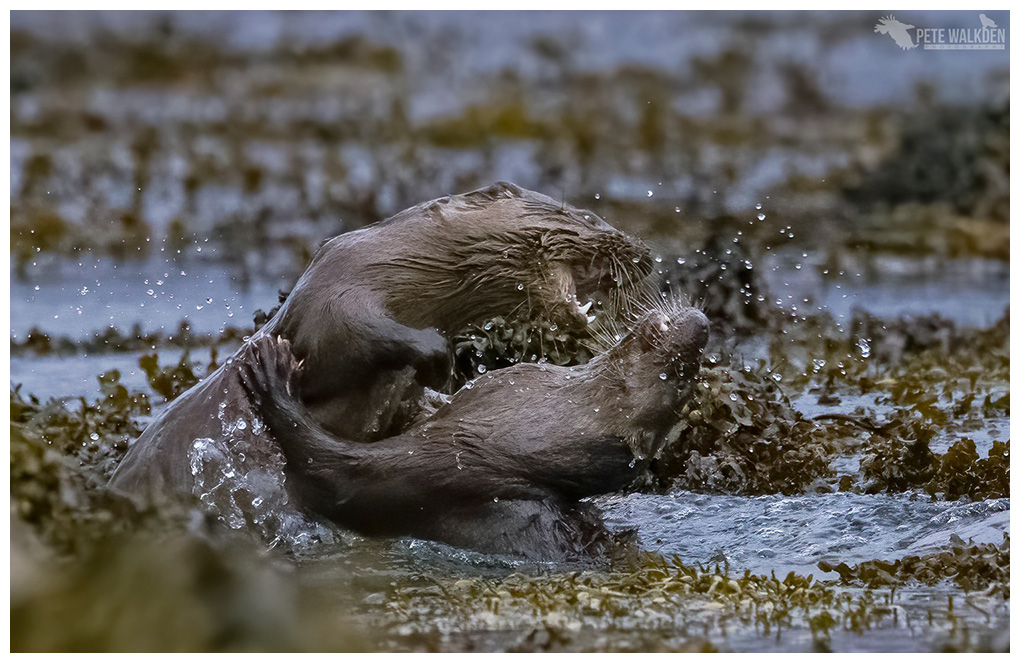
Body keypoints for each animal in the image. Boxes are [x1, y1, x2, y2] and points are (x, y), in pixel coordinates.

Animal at [109, 180, 652, 501]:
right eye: (588, 217)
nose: (644, 252)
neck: (400, 262)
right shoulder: (336, 293)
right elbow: (357, 333)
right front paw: (440, 363)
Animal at [236, 299, 709, 558]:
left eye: (673, 377)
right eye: (688, 379)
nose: (701, 328)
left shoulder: (416, 467)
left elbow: (318, 461)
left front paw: (272, 377)